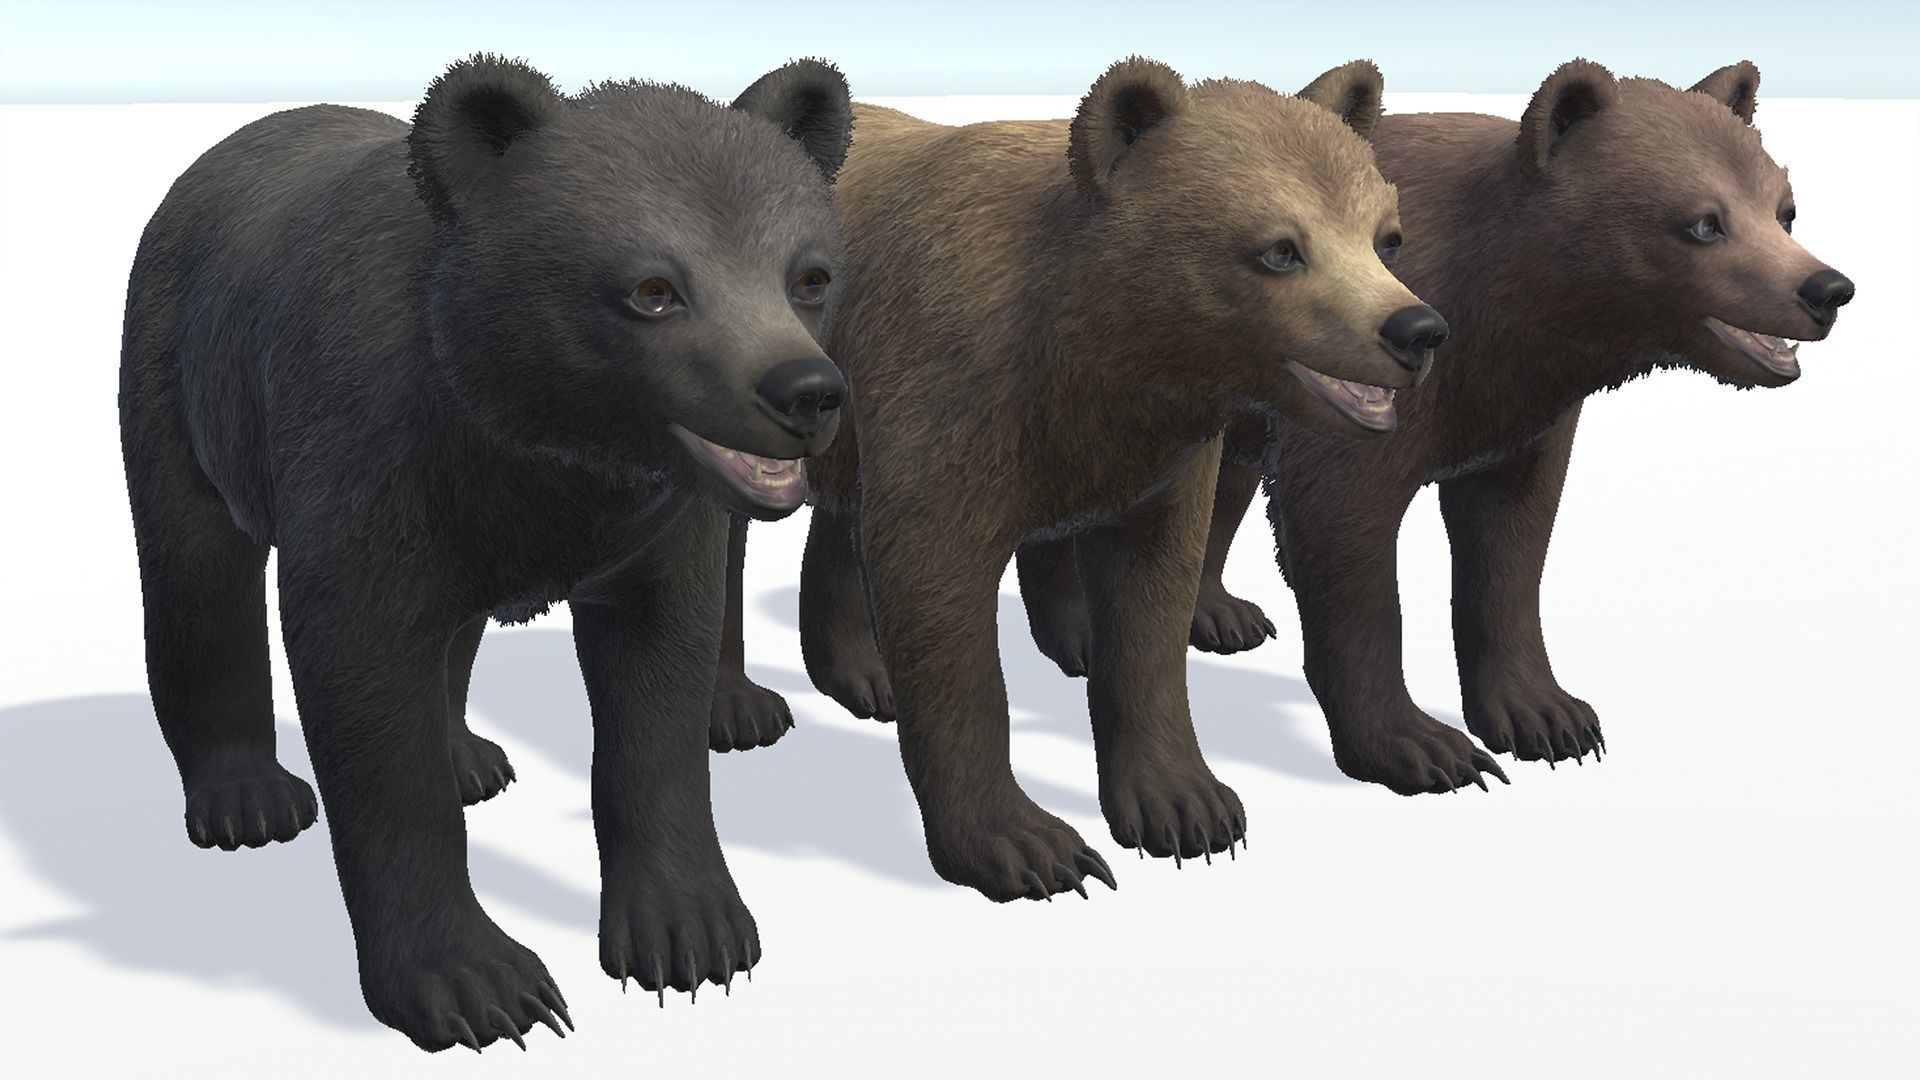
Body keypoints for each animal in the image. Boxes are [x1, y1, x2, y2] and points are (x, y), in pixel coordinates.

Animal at [117, 54, 853, 1050]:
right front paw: (481, 983)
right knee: (197, 574)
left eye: (808, 274)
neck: (530, 432)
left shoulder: (647, 520)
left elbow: (658, 680)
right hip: (181, 376)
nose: (803, 391)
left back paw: (466, 755)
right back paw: (247, 797)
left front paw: (690, 932)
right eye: (654, 288)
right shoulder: (363, 452)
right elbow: (366, 686)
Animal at [786, 57, 1452, 902]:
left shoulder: (1155, 453)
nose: (1416, 331)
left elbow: (1150, 604)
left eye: (1385, 238)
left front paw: (1187, 806)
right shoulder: (950, 390)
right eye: (1280, 248)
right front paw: (1027, 843)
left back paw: (870, 669)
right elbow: (940, 598)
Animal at [1022, 59, 1855, 795]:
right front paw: (1421, 746)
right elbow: (1346, 543)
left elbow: (1511, 542)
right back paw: (1081, 630)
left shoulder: (1518, 409)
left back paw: (1216, 612)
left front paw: (1546, 715)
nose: (1826, 288)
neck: (1511, 308)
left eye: (1784, 209)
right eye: (1705, 223)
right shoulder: (1363, 387)